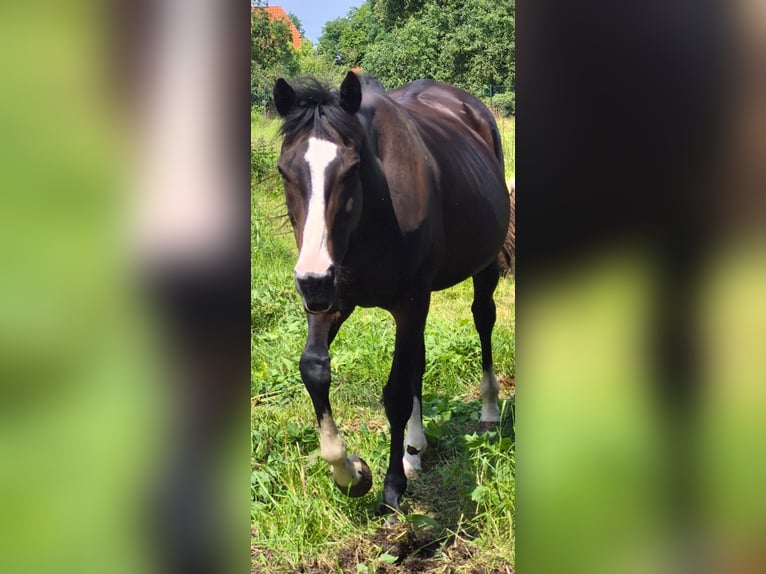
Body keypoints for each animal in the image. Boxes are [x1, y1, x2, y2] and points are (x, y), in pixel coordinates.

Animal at [272, 71, 512, 514]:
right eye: (284, 170)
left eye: (351, 169)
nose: (311, 280)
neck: (372, 217)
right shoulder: (333, 298)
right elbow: (314, 369)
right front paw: (352, 473)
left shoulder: (409, 302)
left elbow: (397, 392)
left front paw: (391, 486)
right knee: (418, 358)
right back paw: (414, 448)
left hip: (482, 267)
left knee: (483, 318)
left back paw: (488, 410)